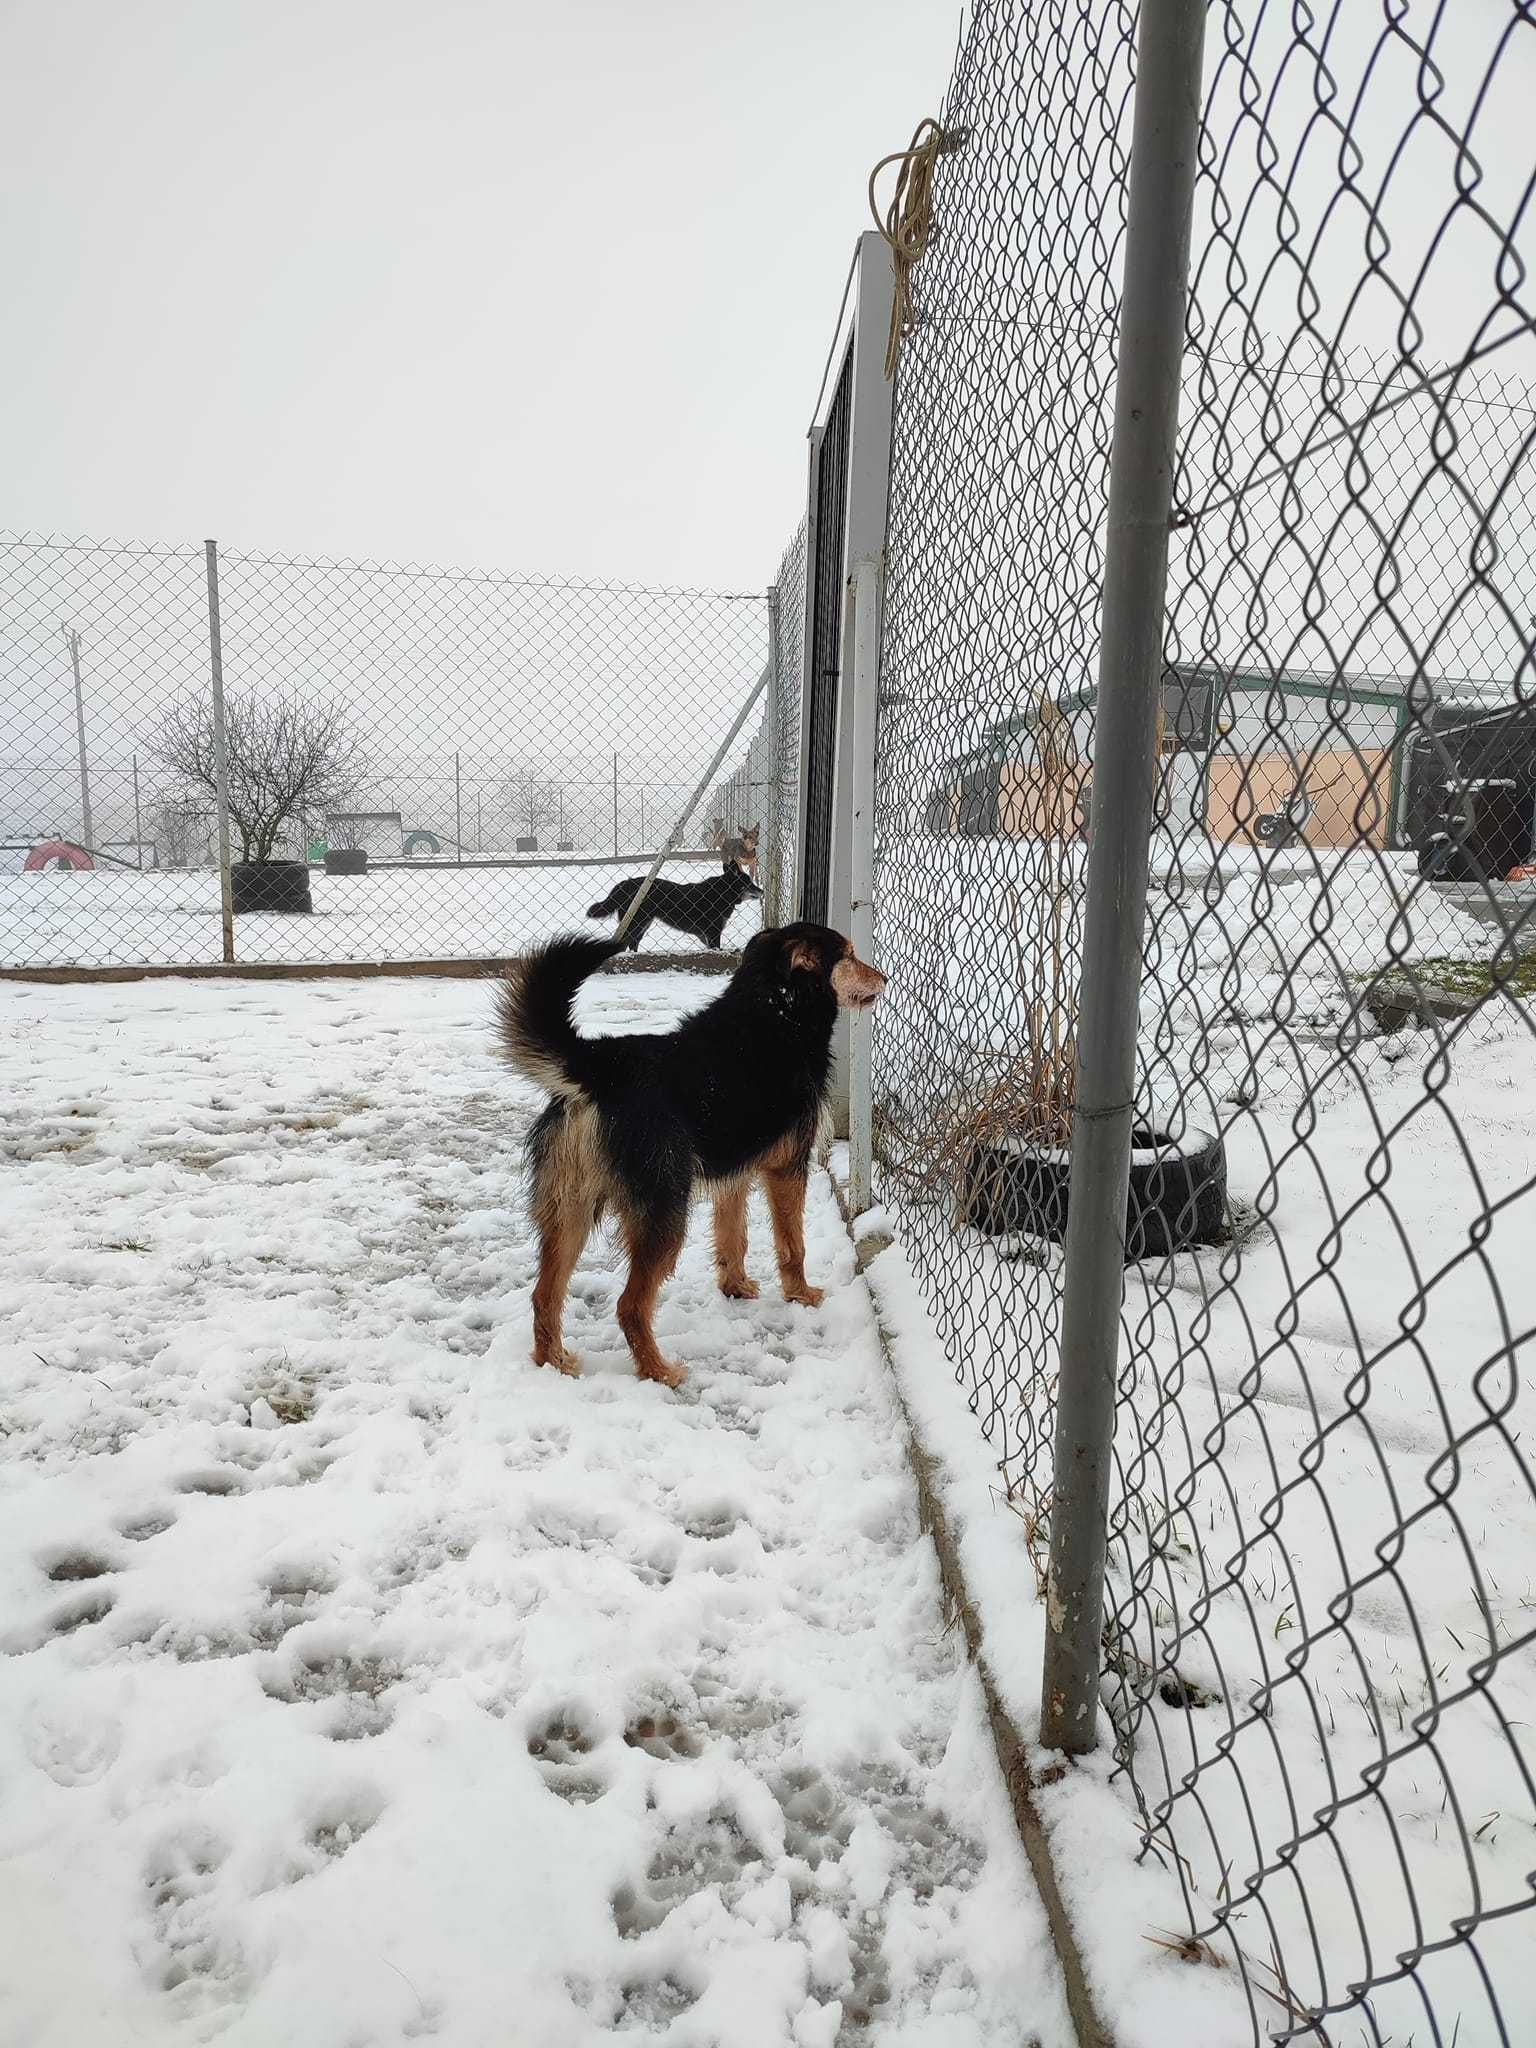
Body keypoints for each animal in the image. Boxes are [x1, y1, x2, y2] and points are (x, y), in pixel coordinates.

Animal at [499, 929, 884, 1392]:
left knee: (544, 1294)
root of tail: (600, 1070)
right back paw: (658, 1370)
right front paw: (801, 1295)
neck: (775, 1011)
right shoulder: (788, 1166)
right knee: (630, 1305)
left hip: (569, 1207)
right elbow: (793, 1245)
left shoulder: (734, 1173)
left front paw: (735, 1287)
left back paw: (553, 1361)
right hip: (663, 1211)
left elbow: (733, 1237)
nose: (884, 978)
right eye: (849, 955)